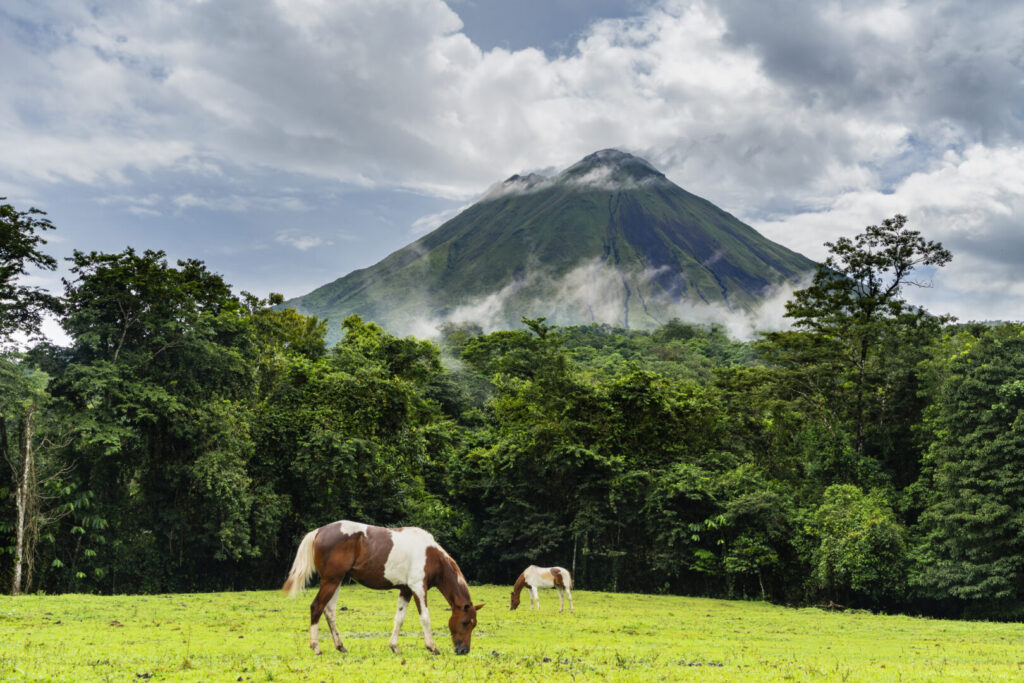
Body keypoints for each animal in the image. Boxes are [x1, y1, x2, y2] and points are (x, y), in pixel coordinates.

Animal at [282, 520, 484, 655]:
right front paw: (432, 647)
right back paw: (316, 647)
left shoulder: (406, 590)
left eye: (473, 624)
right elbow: (425, 618)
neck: (431, 555)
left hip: (335, 582)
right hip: (331, 581)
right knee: (317, 607)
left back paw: (340, 646)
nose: (464, 650)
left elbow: (399, 619)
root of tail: (319, 531)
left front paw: (394, 647)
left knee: (329, 611)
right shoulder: (418, 588)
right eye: (465, 622)